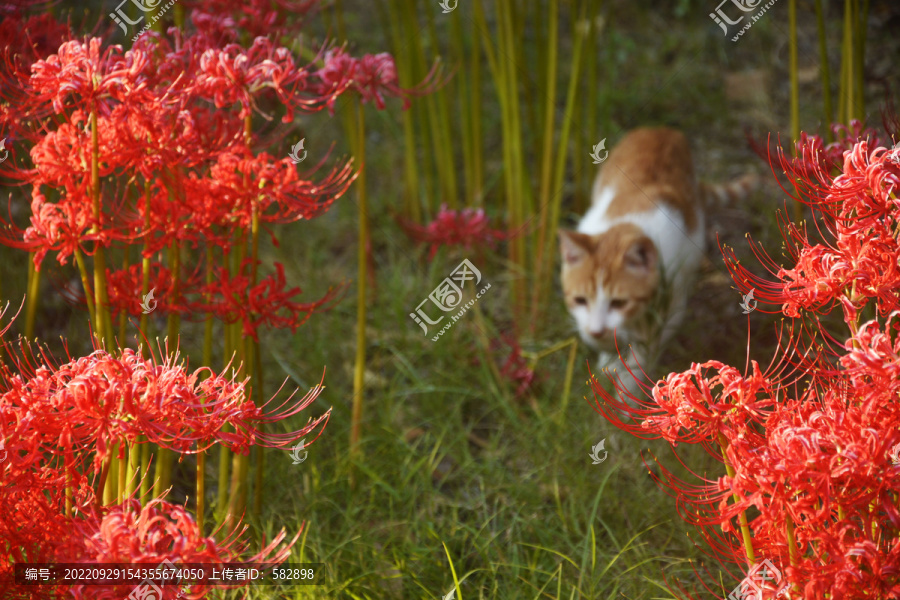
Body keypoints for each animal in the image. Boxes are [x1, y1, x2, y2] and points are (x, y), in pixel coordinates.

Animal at [560, 127, 756, 384]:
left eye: (619, 302)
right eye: (580, 300)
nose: (597, 330)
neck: (628, 224)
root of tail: (662, 129)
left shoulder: (671, 306)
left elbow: (641, 357)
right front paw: (606, 358)